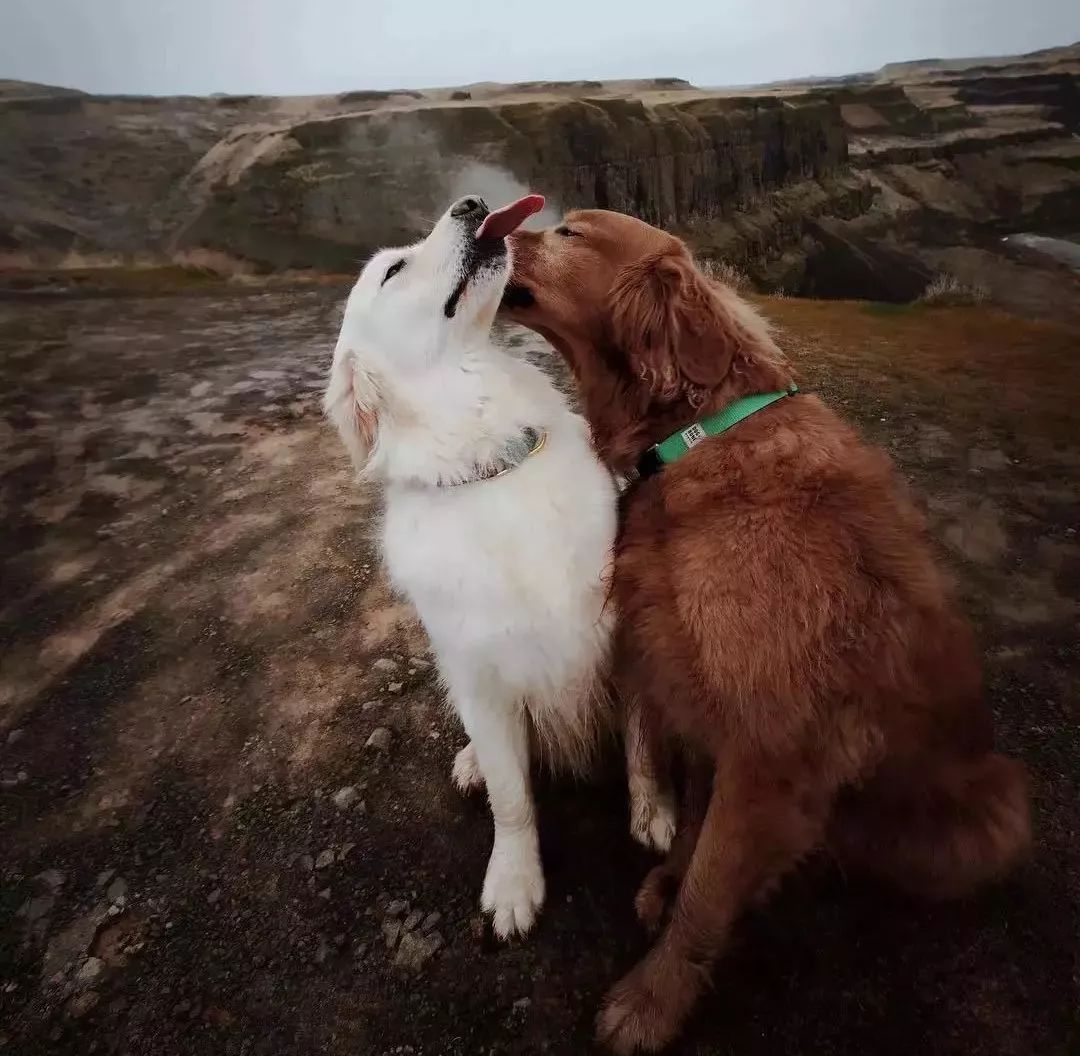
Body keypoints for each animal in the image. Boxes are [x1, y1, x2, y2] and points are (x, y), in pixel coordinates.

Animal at [324, 193, 669, 932]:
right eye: (393, 270)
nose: (472, 203)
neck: (490, 462)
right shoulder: (480, 676)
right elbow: (512, 801)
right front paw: (514, 881)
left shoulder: (627, 640)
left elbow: (644, 746)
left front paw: (655, 813)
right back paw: (473, 762)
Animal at [503, 209, 1028, 1049]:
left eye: (572, 233)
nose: (482, 217)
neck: (696, 438)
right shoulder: (702, 703)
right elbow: (694, 831)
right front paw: (668, 880)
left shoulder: (771, 749)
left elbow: (708, 893)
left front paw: (651, 1002)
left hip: (995, 811)